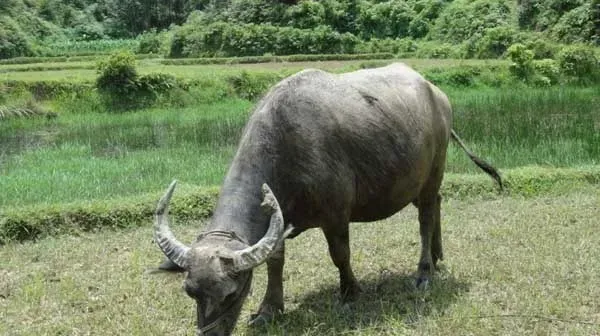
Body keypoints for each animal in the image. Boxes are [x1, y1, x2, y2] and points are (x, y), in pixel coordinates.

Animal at [151, 62, 502, 334]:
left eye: (231, 294)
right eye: (191, 292)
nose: (211, 333)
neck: (286, 150)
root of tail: (436, 93)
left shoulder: (336, 215)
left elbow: (340, 254)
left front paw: (349, 292)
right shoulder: (279, 220)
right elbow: (275, 262)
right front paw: (269, 309)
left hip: (433, 171)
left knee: (426, 217)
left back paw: (424, 272)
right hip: (414, 181)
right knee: (438, 204)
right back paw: (439, 256)